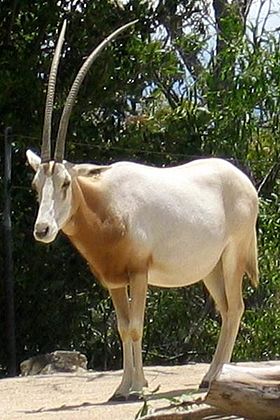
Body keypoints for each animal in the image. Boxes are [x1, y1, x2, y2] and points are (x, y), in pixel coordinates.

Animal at [27, 19, 260, 400]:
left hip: (232, 257)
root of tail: (243, 181)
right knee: (226, 310)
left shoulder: (139, 273)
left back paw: (216, 378)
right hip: (210, 269)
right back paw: (208, 377)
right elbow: (123, 328)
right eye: (35, 186)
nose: (42, 229)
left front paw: (135, 389)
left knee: (237, 307)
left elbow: (136, 327)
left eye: (64, 183)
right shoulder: (112, 280)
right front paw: (125, 387)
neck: (107, 205)